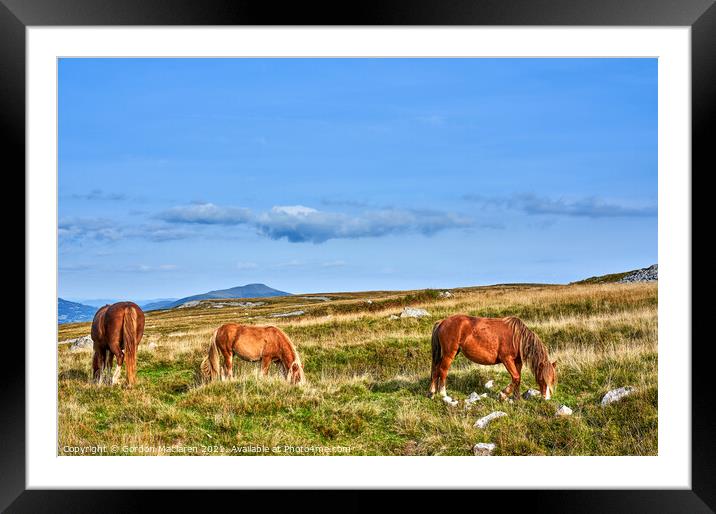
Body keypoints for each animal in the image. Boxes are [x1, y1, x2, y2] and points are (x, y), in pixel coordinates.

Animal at [428, 312, 556, 400]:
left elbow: (518, 379)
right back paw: (443, 394)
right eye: (542, 378)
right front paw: (503, 395)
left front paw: (517, 398)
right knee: (442, 371)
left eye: (553, 379)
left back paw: (432, 392)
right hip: (449, 354)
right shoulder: (507, 359)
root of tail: (442, 322)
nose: (547, 398)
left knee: (435, 370)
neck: (517, 337)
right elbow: (515, 377)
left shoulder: (518, 362)